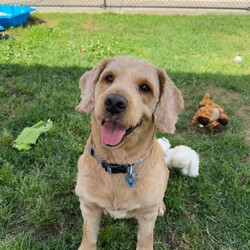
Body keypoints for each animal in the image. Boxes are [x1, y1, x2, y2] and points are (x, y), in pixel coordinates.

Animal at [74, 55, 184, 249]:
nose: (114, 102)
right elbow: (88, 236)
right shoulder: (88, 206)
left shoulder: (147, 217)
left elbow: (145, 239)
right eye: (109, 78)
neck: (118, 163)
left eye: (145, 88)